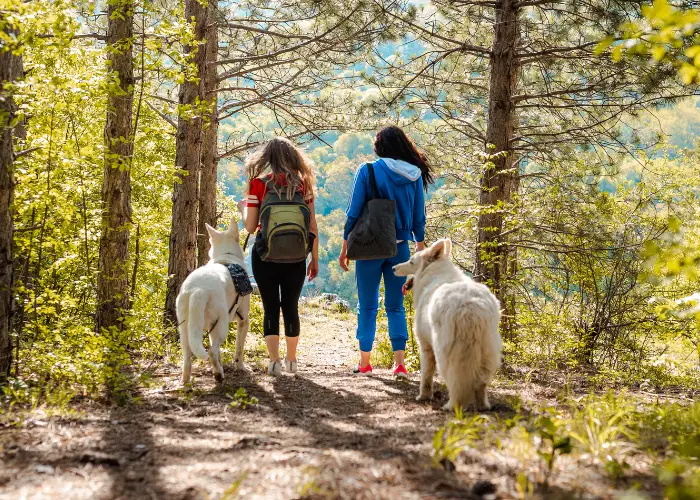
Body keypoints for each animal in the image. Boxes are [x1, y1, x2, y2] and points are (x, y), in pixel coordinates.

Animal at [176, 217, 250, 384]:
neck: (227, 255)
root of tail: (197, 290)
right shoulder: (243, 320)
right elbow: (239, 349)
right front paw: (240, 367)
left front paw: (221, 364)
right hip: (222, 325)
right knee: (211, 350)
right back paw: (219, 375)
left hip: (185, 329)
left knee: (188, 357)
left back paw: (186, 381)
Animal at [394, 239, 504, 410]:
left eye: (411, 262)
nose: (393, 268)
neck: (433, 273)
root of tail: (471, 307)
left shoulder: (425, 346)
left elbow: (426, 375)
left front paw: (424, 396)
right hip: (488, 351)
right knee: (481, 383)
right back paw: (483, 406)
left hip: (445, 353)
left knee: (456, 381)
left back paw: (452, 406)